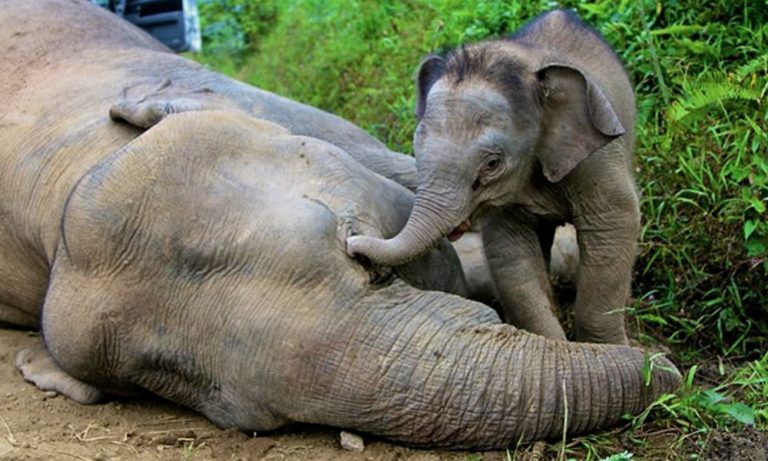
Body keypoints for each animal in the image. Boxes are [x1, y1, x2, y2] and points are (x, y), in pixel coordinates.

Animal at [347, 9, 640, 345]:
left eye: (492, 163)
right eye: (415, 147)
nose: (351, 244)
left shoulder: (596, 158)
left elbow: (614, 225)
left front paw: (611, 348)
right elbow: (510, 253)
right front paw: (554, 344)